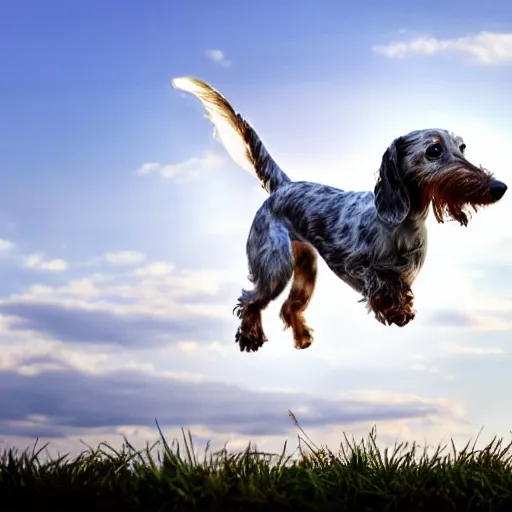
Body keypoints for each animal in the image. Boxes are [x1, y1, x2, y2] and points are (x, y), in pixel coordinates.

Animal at [171, 77, 504, 352]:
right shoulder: (349, 262)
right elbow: (379, 282)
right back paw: (250, 337)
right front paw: (393, 309)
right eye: (434, 150)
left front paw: (401, 306)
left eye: (462, 147)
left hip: (306, 269)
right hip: (275, 267)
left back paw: (302, 337)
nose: (499, 188)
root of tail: (284, 186)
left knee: (288, 308)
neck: (403, 225)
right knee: (249, 300)